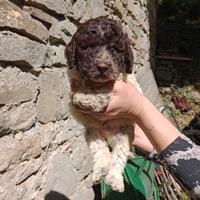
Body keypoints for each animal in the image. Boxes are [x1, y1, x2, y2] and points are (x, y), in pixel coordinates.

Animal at [65, 16, 141, 192]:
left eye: (116, 50)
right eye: (87, 47)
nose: (102, 67)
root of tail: (109, 134)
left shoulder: (123, 79)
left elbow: (106, 85)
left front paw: (89, 98)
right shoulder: (74, 75)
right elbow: (80, 82)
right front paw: (84, 95)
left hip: (124, 133)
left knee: (119, 156)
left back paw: (115, 179)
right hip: (93, 132)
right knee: (101, 152)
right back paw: (100, 171)